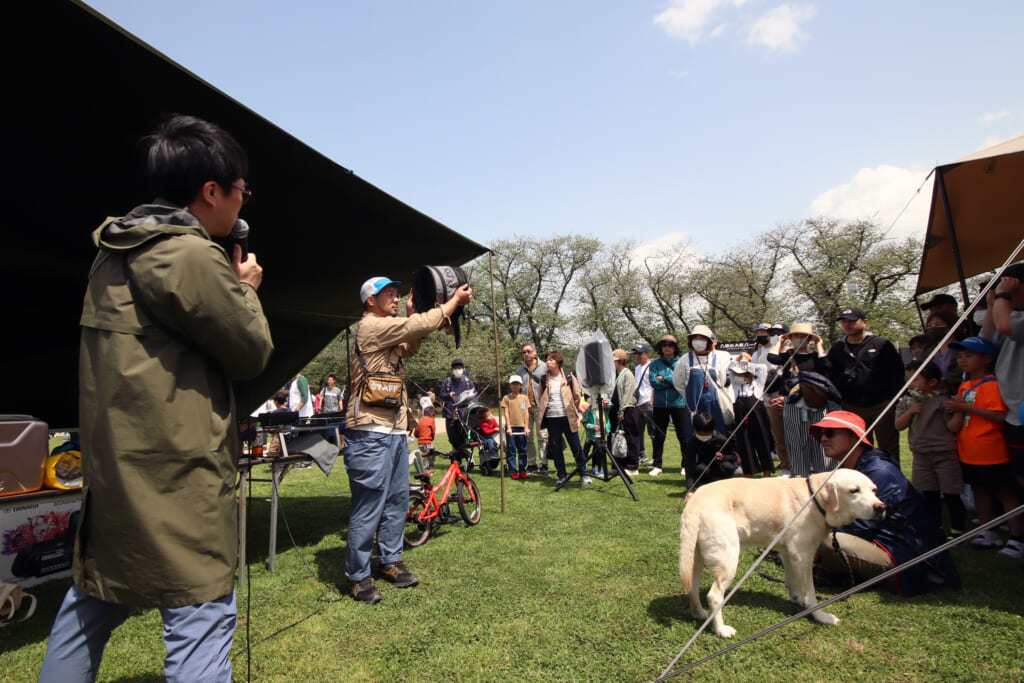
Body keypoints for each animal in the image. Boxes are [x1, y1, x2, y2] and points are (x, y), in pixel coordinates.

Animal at [675, 466, 884, 638]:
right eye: (854, 490)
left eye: (874, 490)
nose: (881, 507)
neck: (814, 498)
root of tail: (694, 503)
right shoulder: (803, 555)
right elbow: (811, 594)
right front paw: (820, 616)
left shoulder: (789, 553)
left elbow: (792, 582)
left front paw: (797, 600)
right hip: (728, 558)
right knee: (714, 596)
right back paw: (720, 629)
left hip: (695, 558)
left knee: (692, 587)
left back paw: (699, 614)